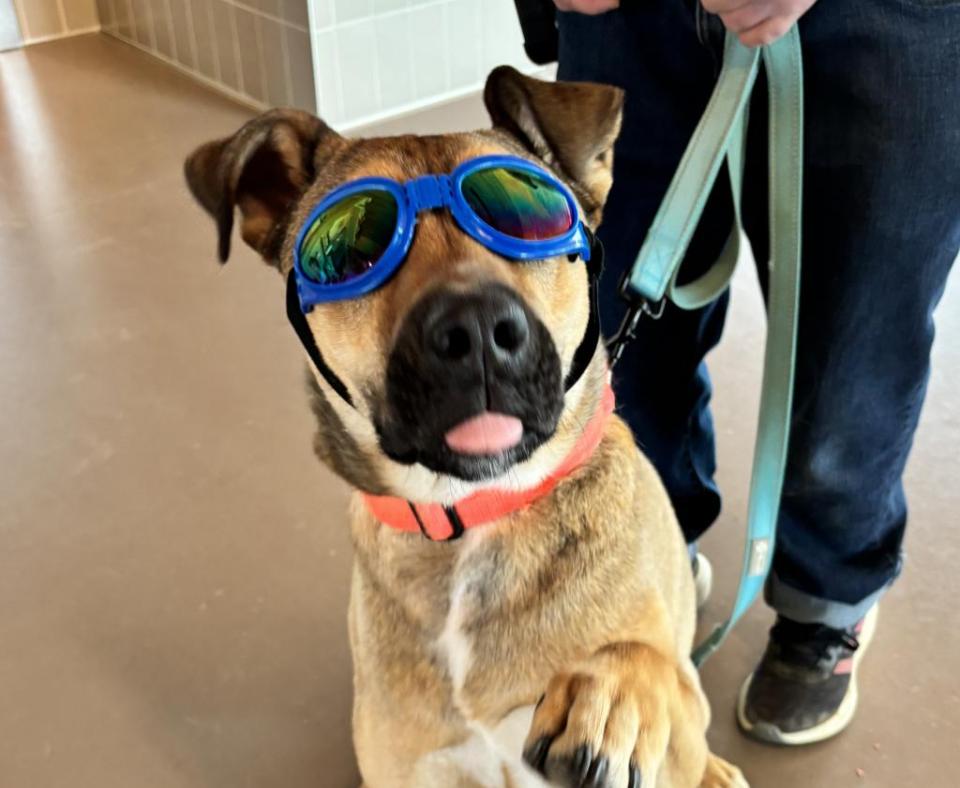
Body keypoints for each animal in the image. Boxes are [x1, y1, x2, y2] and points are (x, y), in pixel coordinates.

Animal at [184, 66, 748, 788]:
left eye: (530, 214)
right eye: (348, 251)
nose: (477, 330)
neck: (476, 514)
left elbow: (642, 663)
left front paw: (609, 695)